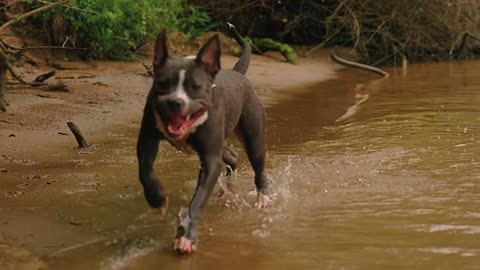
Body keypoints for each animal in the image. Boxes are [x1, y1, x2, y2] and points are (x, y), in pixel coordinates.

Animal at [136, 22, 270, 253]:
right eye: (162, 84)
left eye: (195, 87)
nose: (175, 102)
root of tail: (237, 73)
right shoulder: (147, 139)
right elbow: (146, 171)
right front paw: (157, 198)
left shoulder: (210, 159)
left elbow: (197, 201)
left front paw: (186, 237)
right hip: (222, 143)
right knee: (231, 156)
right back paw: (228, 187)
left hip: (253, 138)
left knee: (258, 166)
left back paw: (262, 197)